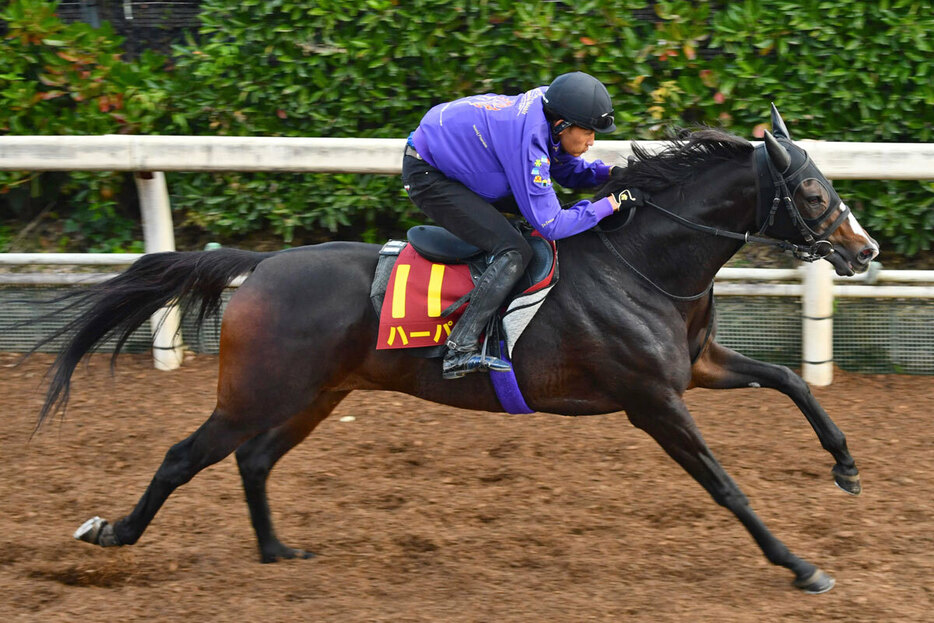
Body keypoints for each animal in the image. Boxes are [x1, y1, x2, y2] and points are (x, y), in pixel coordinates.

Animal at [29, 107, 876, 596]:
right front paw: (800, 564)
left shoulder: (696, 368)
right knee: (184, 456)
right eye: (811, 193)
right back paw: (112, 535)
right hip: (255, 392)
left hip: (317, 393)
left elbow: (790, 380)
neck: (646, 264)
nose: (864, 251)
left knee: (255, 458)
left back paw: (276, 549)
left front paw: (844, 465)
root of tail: (260, 266)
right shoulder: (653, 401)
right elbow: (726, 486)